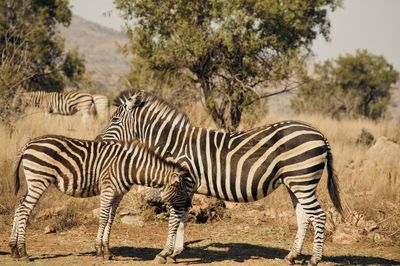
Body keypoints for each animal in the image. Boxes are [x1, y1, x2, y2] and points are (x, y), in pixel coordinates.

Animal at [9, 136, 195, 260]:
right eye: (182, 189)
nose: (188, 205)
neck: (130, 167)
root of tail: (29, 143)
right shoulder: (108, 189)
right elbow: (104, 218)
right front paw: (99, 250)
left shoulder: (118, 194)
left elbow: (111, 219)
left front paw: (107, 251)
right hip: (39, 179)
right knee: (24, 209)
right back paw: (23, 252)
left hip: (33, 181)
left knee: (19, 206)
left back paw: (14, 249)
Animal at [96, 90, 344, 264]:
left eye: (115, 119)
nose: (98, 140)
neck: (175, 144)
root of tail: (319, 133)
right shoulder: (187, 187)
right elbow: (183, 217)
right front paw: (176, 252)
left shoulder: (181, 183)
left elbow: (174, 217)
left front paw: (164, 252)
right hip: (294, 183)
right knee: (304, 217)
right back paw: (291, 256)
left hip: (302, 180)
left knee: (319, 216)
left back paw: (315, 259)